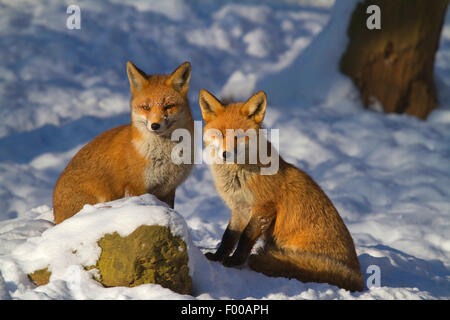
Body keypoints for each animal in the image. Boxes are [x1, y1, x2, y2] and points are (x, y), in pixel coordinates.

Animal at [52, 61, 193, 224]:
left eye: (168, 106)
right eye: (146, 107)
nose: (155, 125)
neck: (165, 156)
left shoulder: (168, 189)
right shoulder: (135, 186)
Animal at [199, 89, 364, 292]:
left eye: (239, 135)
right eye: (220, 134)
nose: (225, 154)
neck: (241, 177)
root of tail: (358, 278)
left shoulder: (264, 208)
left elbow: (245, 238)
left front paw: (234, 262)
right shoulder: (240, 209)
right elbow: (228, 236)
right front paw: (217, 257)